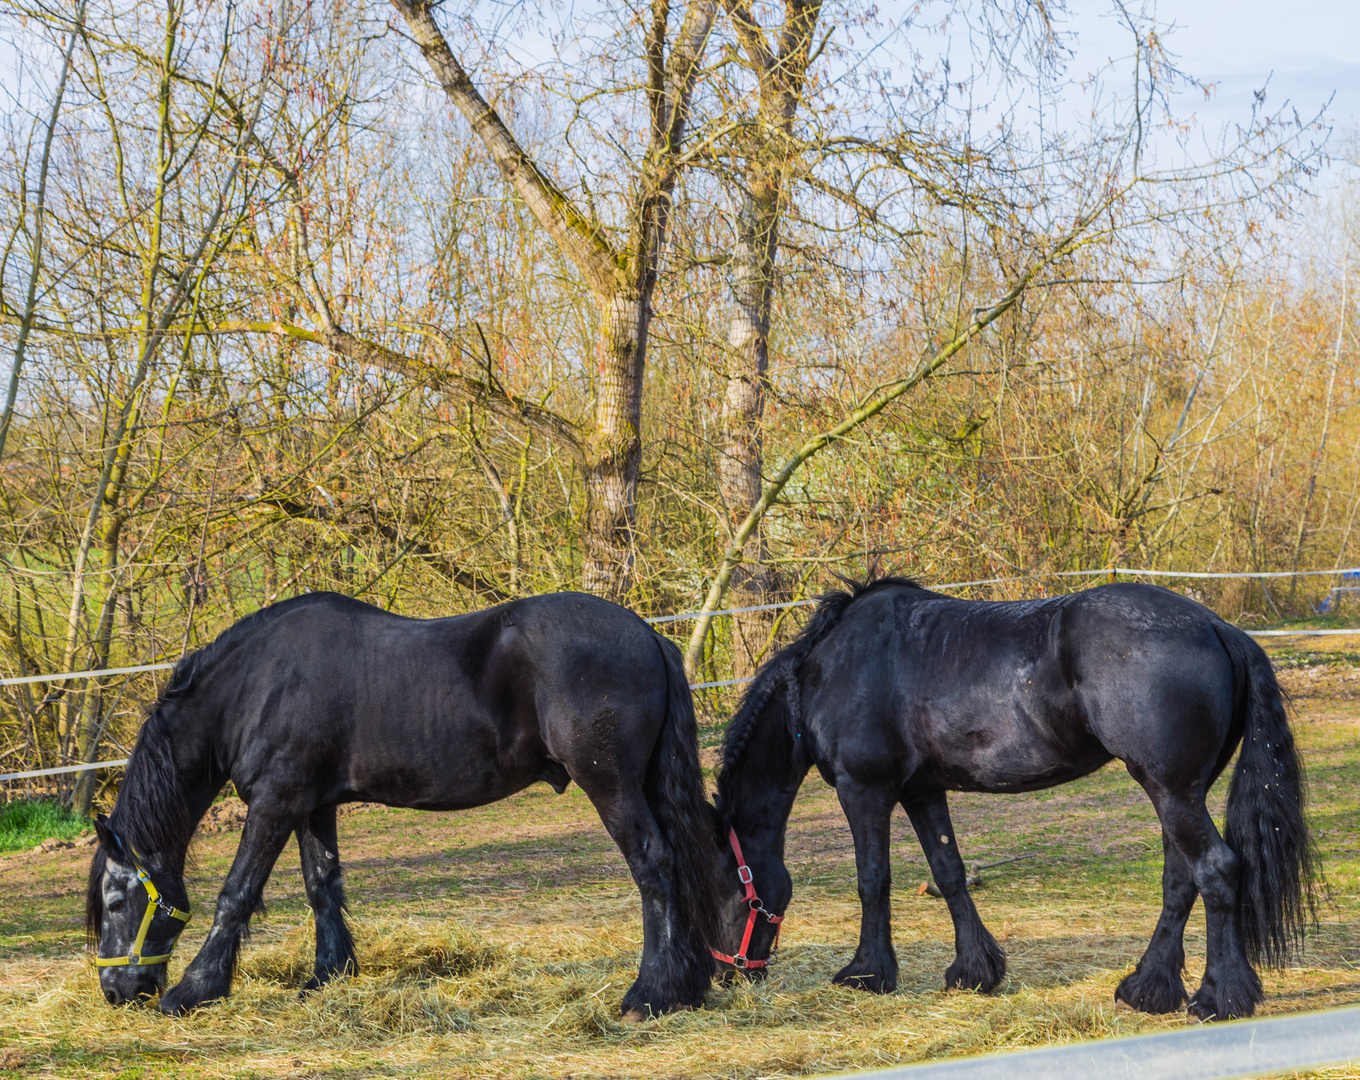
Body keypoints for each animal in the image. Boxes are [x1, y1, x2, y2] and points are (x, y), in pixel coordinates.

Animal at [86, 590, 718, 1017]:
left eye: (116, 902)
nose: (116, 991)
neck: (257, 686)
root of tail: (647, 634)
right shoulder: (313, 805)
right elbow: (322, 885)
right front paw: (328, 976)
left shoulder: (274, 802)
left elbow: (235, 894)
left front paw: (194, 990)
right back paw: (688, 986)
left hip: (612, 786)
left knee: (655, 867)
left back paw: (650, 993)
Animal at [712, 576, 1316, 1011]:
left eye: (729, 893)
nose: (725, 972)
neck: (830, 671)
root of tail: (1218, 627)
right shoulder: (922, 791)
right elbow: (949, 873)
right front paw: (974, 971)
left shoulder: (864, 790)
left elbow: (871, 880)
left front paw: (867, 973)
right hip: (1177, 792)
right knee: (1181, 879)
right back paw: (1148, 988)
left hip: (1171, 790)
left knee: (1216, 870)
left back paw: (1219, 997)